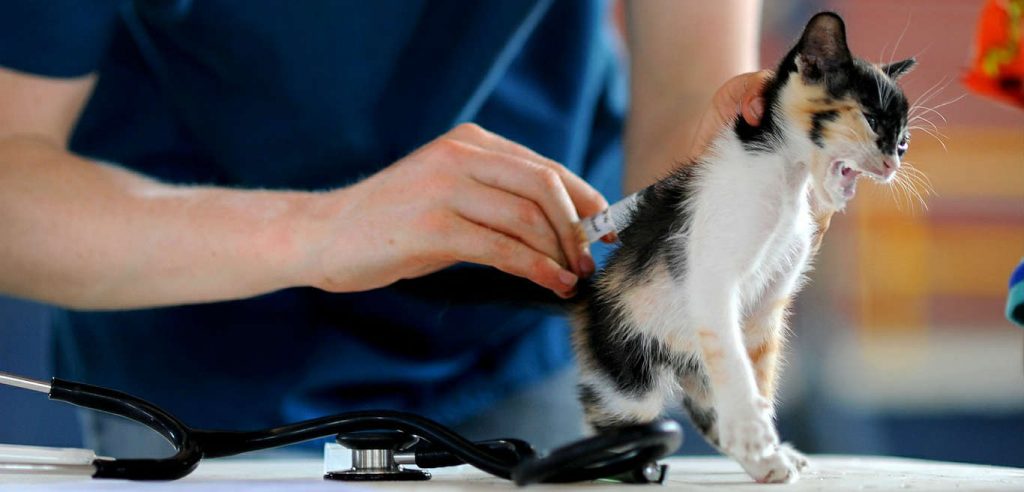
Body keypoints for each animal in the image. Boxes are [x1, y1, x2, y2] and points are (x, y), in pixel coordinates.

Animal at [573, 11, 917, 483]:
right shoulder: (712, 282)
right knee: (612, 416)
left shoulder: (767, 304)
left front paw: (766, 448)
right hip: (628, 371)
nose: (893, 162)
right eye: (871, 118)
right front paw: (757, 437)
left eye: (903, 140)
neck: (784, 175)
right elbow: (735, 364)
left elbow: (757, 373)